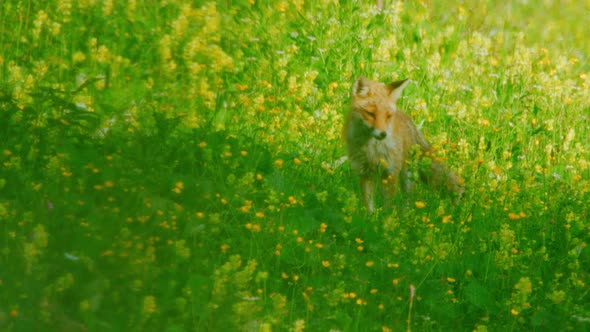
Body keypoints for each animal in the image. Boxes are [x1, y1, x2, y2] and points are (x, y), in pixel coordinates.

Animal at [344, 76, 464, 213]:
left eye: (388, 116)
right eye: (371, 114)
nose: (383, 134)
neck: (371, 149)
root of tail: (408, 119)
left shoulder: (391, 173)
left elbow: (388, 205)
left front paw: (386, 219)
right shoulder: (365, 173)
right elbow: (368, 204)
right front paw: (370, 217)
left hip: (407, 174)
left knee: (407, 199)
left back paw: (405, 216)